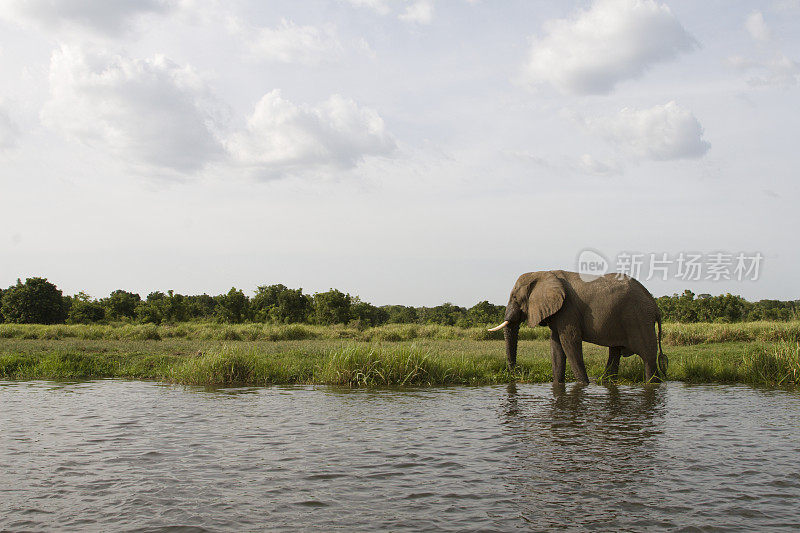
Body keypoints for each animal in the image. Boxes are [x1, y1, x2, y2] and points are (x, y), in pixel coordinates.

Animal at [488, 270, 668, 382]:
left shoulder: (568, 309)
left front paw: (583, 384)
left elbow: (570, 343)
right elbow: (556, 347)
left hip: (639, 319)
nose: (516, 373)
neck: (543, 273)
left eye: (515, 298)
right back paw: (606, 381)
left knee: (648, 357)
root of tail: (655, 306)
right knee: (615, 352)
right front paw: (558, 384)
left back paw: (651, 383)